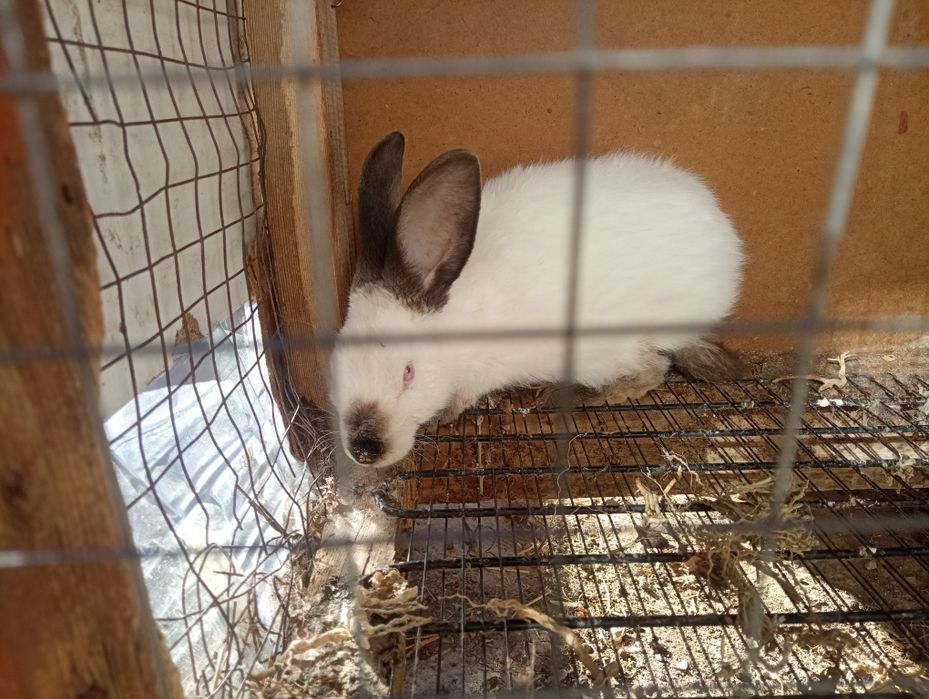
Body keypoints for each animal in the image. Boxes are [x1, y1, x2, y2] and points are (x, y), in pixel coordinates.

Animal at [330, 132, 745, 467]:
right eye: (337, 362)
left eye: (408, 372)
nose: (365, 448)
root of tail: (728, 245)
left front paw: (443, 415)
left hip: (611, 347)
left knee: (654, 369)